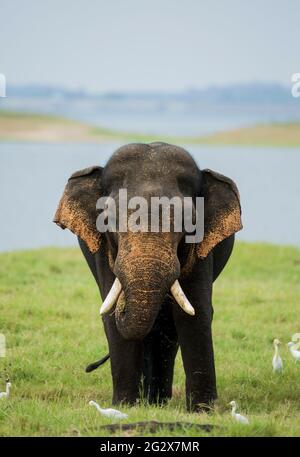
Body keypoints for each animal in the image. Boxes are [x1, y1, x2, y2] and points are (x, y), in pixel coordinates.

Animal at [54, 141, 241, 412]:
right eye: (108, 219)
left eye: (190, 222)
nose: (88, 367)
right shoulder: (103, 250)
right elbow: (111, 319)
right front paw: (123, 407)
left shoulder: (201, 248)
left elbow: (195, 313)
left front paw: (202, 411)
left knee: (167, 328)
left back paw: (158, 402)